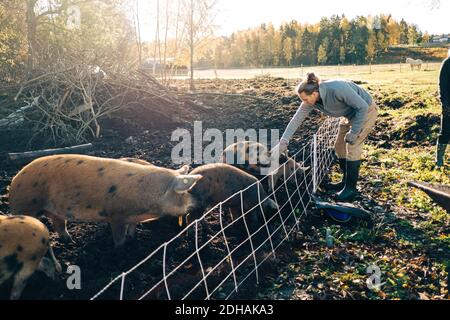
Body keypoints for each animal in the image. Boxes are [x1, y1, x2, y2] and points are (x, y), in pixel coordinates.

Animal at [9, 154, 202, 246]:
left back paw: (70, 241)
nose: (198, 203)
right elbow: (119, 237)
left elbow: (132, 228)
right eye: (183, 192)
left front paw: (133, 238)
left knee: (58, 224)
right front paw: (120, 248)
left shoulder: (133, 217)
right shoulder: (116, 215)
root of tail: (14, 180)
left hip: (55, 210)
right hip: (26, 205)